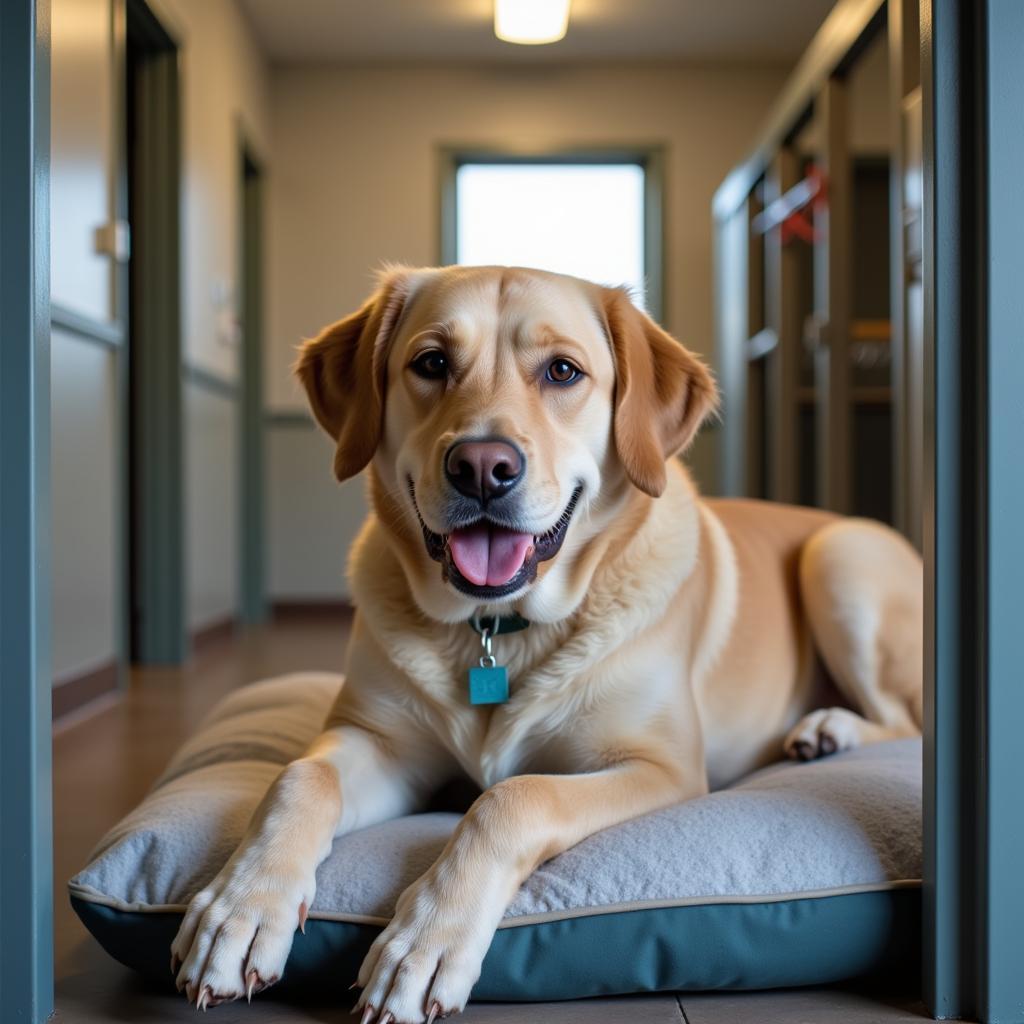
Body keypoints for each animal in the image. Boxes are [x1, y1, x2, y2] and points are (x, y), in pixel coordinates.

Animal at [167, 266, 921, 1024]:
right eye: (431, 363)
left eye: (563, 371)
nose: (481, 465)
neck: (496, 628)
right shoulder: (381, 744)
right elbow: (300, 778)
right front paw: (240, 909)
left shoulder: (663, 768)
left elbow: (512, 797)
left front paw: (428, 941)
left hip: (839, 558)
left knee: (907, 720)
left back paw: (827, 729)